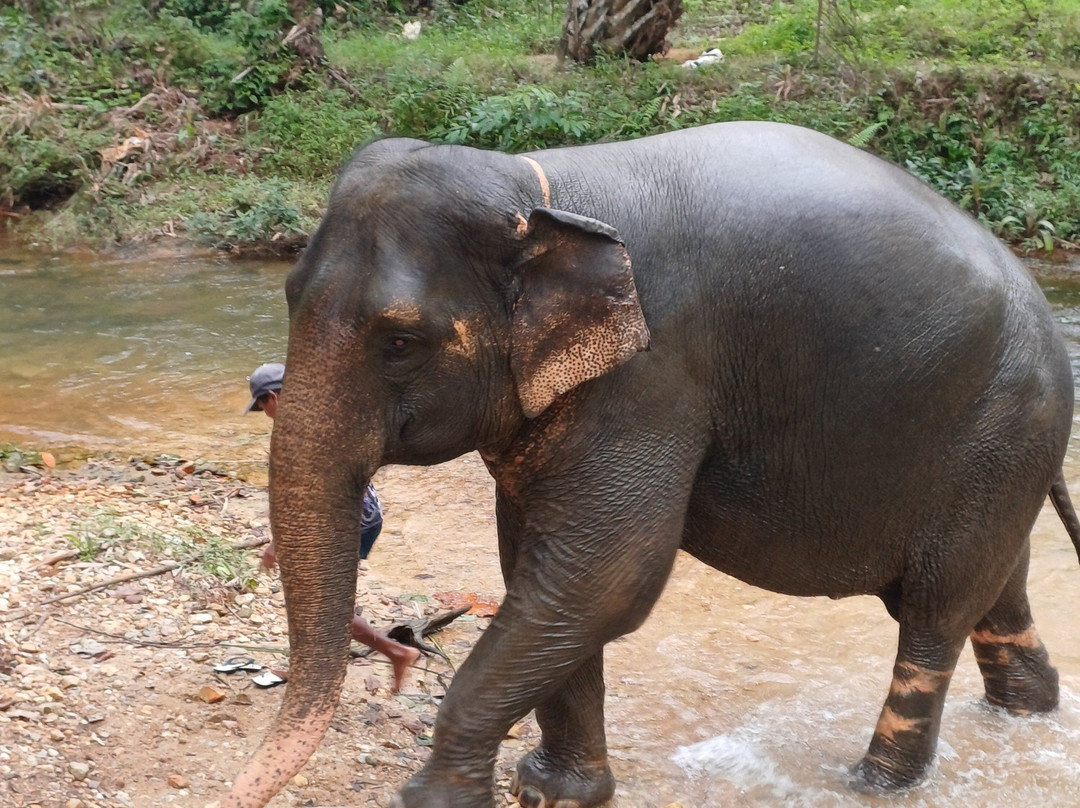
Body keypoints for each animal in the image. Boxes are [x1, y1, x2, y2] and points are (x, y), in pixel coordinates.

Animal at [222, 121, 1080, 808]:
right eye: (290, 294)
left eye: (399, 341)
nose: (237, 791)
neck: (541, 187)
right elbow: (541, 568)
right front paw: (557, 795)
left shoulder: (652, 374)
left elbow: (604, 575)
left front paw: (440, 802)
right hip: (997, 452)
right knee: (994, 593)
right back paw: (1026, 715)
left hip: (1001, 423)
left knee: (934, 615)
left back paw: (872, 785)